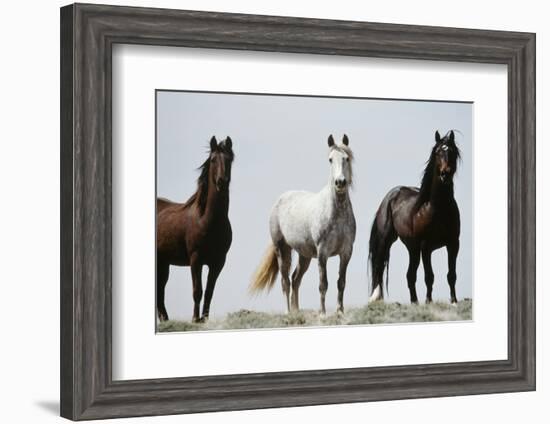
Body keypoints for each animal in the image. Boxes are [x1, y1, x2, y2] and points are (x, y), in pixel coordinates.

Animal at [156, 136, 234, 322]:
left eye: (229, 160)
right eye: (213, 160)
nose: (222, 182)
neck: (207, 220)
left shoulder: (218, 262)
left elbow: (209, 292)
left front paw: (204, 319)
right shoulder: (195, 259)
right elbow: (197, 291)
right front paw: (194, 319)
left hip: (163, 263)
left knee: (160, 291)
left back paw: (165, 320)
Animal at [368, 131, 464, 304]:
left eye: (452, 152)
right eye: (437, 152)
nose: (445, 174)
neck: (438, 208)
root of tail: (390, 196)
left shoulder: (453, 243)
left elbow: (451, 275)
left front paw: (453, 301)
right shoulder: (426, 247)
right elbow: (429, 276)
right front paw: (429, 302)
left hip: (412, 248)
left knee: (410, 275)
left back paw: (414, 302)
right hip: (387, 241)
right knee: (379, 266)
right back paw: (376, 297)